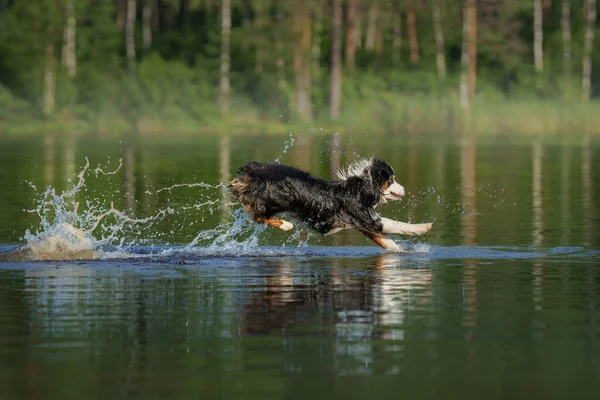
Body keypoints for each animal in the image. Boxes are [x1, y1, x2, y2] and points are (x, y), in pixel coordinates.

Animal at [230, 158, 432, 252]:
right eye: (391, 180)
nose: (405, 189)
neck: (360, 189)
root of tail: (251, 169)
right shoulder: (366, 219)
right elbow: (397, 225)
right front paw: (424, 227)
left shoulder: (362, 224)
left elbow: (387, 242)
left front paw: (403, 252)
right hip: (281, 197)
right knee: (258, 215)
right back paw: (285, 225)